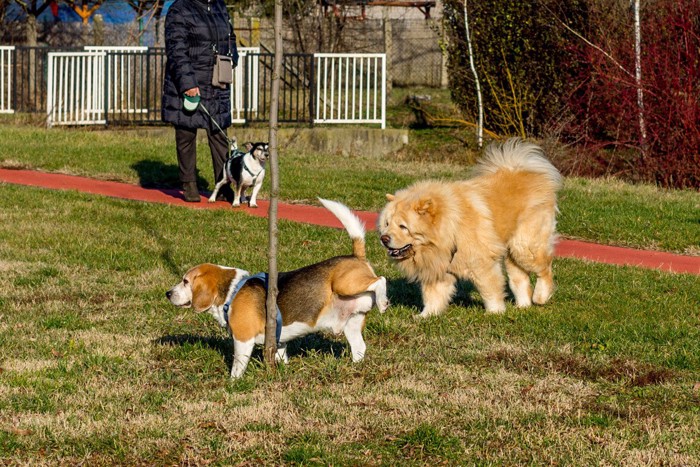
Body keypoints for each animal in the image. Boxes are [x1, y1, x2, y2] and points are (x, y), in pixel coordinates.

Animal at [378, 137, 564, 316]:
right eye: (387, 224)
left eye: (403, 227)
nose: (384, 238)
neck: (450, 229)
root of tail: (528, 170)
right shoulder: (438, 270)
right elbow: (433, 297)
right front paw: (425, 317)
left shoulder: (482, 264)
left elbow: (490, 291)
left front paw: (495, 313)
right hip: (513, 253)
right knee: (520, 279)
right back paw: (522, 307)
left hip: (524, 246)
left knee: (545, 268)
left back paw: (540, 297)